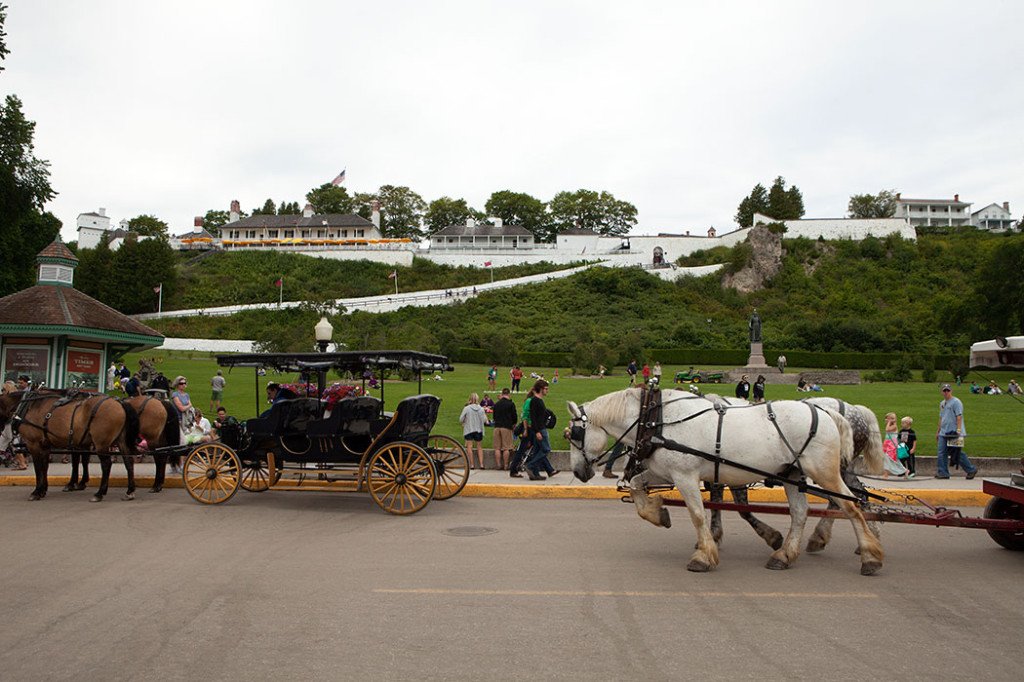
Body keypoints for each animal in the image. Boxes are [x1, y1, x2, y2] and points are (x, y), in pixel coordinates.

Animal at [0, 387, 140, 499]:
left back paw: (100, 493)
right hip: (121, 440)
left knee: (106, 464)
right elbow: (45, 467)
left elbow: (38, 468)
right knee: (128, 462)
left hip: (101, 443)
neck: (29, 406)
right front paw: (43, 489)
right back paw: (130, 491)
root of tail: (119, 402)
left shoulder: (33, 444)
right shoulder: (46, 445)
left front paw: (37, 491)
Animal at [565, 387, 884, 573]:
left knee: (851, 504)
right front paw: (658, 513)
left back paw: (869, 555)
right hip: (792, 474)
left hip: (824, 472)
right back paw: (784, 555)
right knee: (801, 512)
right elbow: (636, 488)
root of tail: (828, 411)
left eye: (574, 434)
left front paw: (704, 555)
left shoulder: (686, 475)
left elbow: (698, 514)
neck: (657, 418)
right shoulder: (666, 471)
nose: (578, 472)